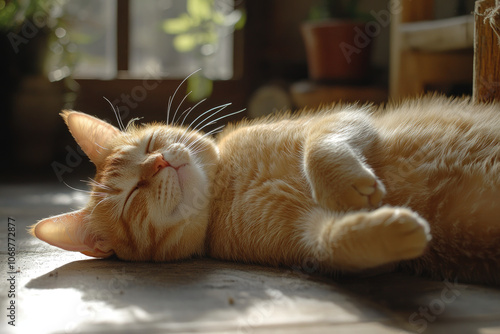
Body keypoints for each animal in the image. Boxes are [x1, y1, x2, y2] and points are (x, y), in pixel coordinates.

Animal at [31, 94, 500, 284]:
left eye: (149, 145)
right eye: (131, 196)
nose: (158, 162)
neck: (228, 188)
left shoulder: (347, 120)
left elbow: (321, 146)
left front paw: (344, 185)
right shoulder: (302, 237)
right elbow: (335, 242)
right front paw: (394, 229)